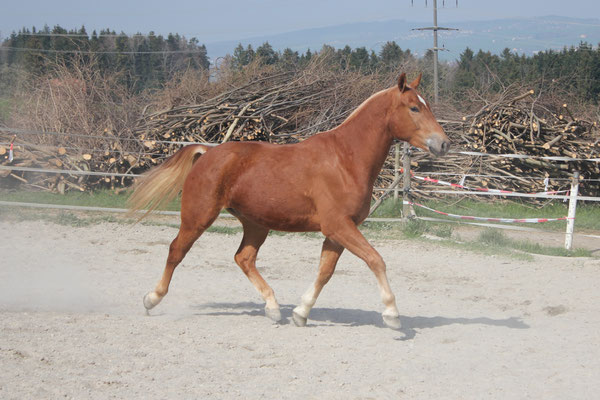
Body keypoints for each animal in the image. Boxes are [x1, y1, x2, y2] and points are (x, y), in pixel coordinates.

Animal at [131, 73, 450, 330]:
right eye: (414, 107)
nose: (443, 143)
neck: (346, 159)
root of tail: (207, 153)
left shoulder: (337, 232)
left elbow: (325, 272)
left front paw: (301, 312)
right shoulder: (339, 226)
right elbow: (376, 260)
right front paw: (392, 315)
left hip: (256, 224)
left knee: (243, 258)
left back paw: (273, 308)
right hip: (199, 216)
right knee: (176, 251)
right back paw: (151, 299)